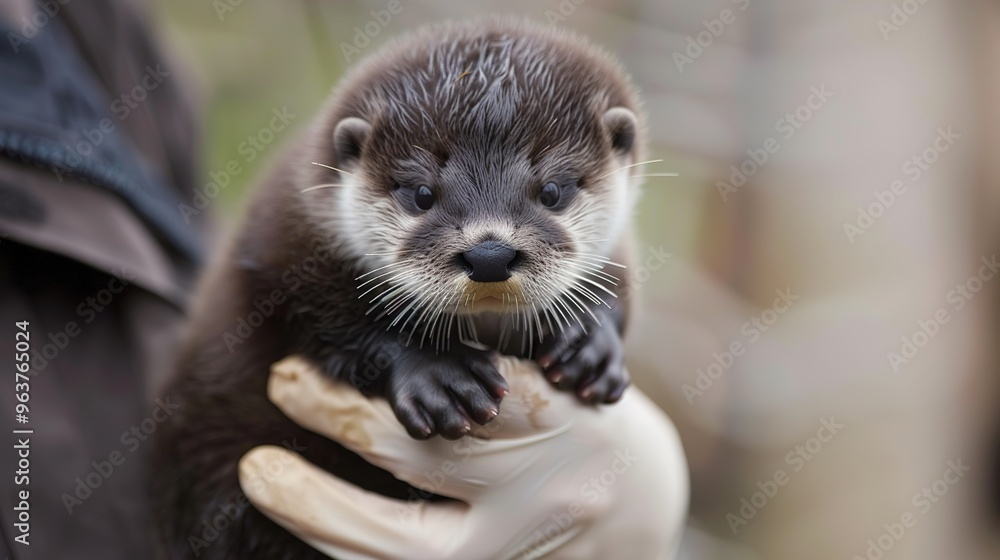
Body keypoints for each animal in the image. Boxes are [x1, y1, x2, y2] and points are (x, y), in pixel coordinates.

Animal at [152, 17, 647, 560]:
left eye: (553, 190)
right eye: (422, 193)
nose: (489, 255)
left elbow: (618, 283)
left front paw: (591, 344)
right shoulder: (281, 240)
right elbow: (320, 309)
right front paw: (437, 373)